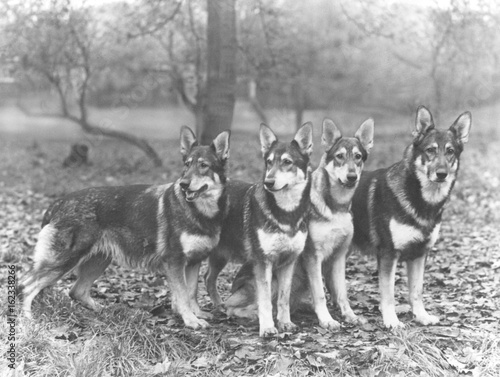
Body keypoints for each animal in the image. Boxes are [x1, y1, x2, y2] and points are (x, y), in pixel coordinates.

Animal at [19, 125, 230, 328]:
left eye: (203, 165)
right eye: (187, 165)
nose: (184, 184)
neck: (201, 213)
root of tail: (58, 203)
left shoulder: (194, 262)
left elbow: (192, 292)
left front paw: (197, 314)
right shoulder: (175, 263)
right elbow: (184, 295)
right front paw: (191, 321)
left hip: (99, 261)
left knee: (76, 291)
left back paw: (107, 311)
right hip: (65, 262)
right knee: (26, 286)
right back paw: (28, 320)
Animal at [220, 118, 376, 328]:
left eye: (358, 157)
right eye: (340, 156)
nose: (352, 177)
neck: (335, 207)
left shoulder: (339, 256)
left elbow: (342, 294)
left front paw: (350, 316)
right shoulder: (313, 257)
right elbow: (320, 294)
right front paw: (327, 320)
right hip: (271, 280)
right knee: (235, 306)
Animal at [350, 105, 470, 326]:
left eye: (450, 151)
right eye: (430, 150)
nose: (442, 174)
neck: (422, 201)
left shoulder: (419, 254)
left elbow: (416, 291)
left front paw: (421, 316)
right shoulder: (388, 254)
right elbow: (388, 293)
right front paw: (391, 321)